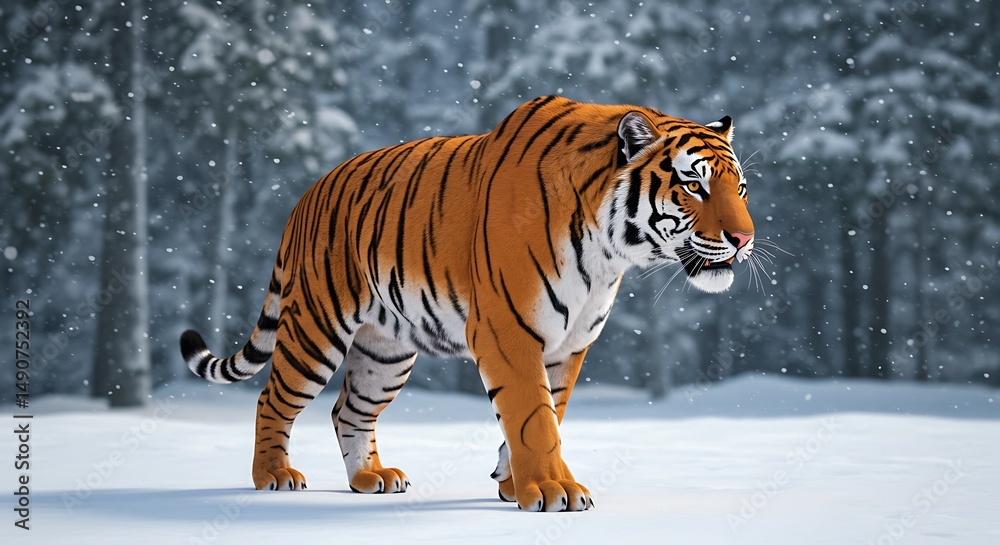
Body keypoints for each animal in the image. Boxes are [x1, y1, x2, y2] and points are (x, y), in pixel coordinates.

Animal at [180, 95, 754, 512]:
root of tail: (305, 196)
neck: (609, 252)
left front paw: (512, 482)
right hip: (316, 329)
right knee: (272, 399)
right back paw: (273, 476)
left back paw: (370, 477)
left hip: (386, 352)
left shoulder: (570, 343)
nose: (745, 238)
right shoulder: (507, 329)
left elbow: (550, 410)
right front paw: (554, 492)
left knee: (349, 409)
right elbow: (533, 416)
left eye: (742, 188)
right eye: (694, 186)